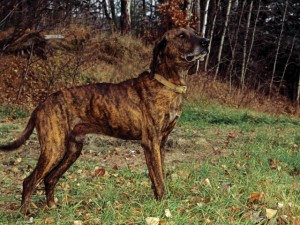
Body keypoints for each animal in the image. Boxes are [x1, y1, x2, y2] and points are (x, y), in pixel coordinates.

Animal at [0, 27, 209, 214]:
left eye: (194, 32)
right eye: (181, 35)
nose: (206, 41)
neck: (167, 83)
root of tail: (41, 104)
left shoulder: (161, 144)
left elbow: (159, 176)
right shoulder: (151, 143)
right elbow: (159, 179)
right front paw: (164, 206)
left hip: (72, 149)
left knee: (50, 179)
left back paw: (52, 207)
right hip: (54, 149)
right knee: (29, 181)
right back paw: (25, 213)